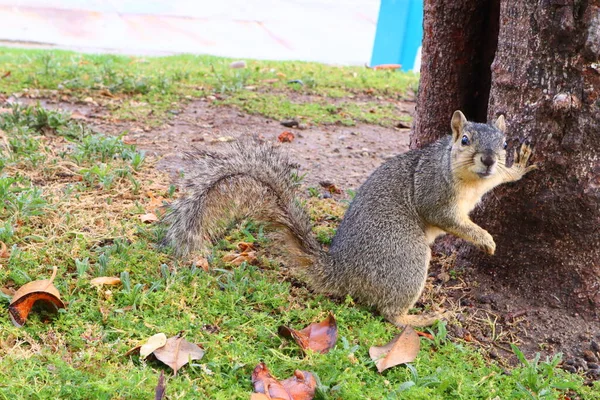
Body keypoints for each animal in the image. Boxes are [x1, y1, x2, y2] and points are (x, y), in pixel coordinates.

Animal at [162, 111, 536, 326]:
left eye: (504, 143)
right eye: (465, 140)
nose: (489, 160)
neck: (471, 181)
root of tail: (340, 270)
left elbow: (501, 180)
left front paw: (518, 167)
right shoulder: (434, 192)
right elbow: (447, 219)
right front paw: (485, 239)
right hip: (406, 257)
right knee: (391, 315)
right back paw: (424, 319)